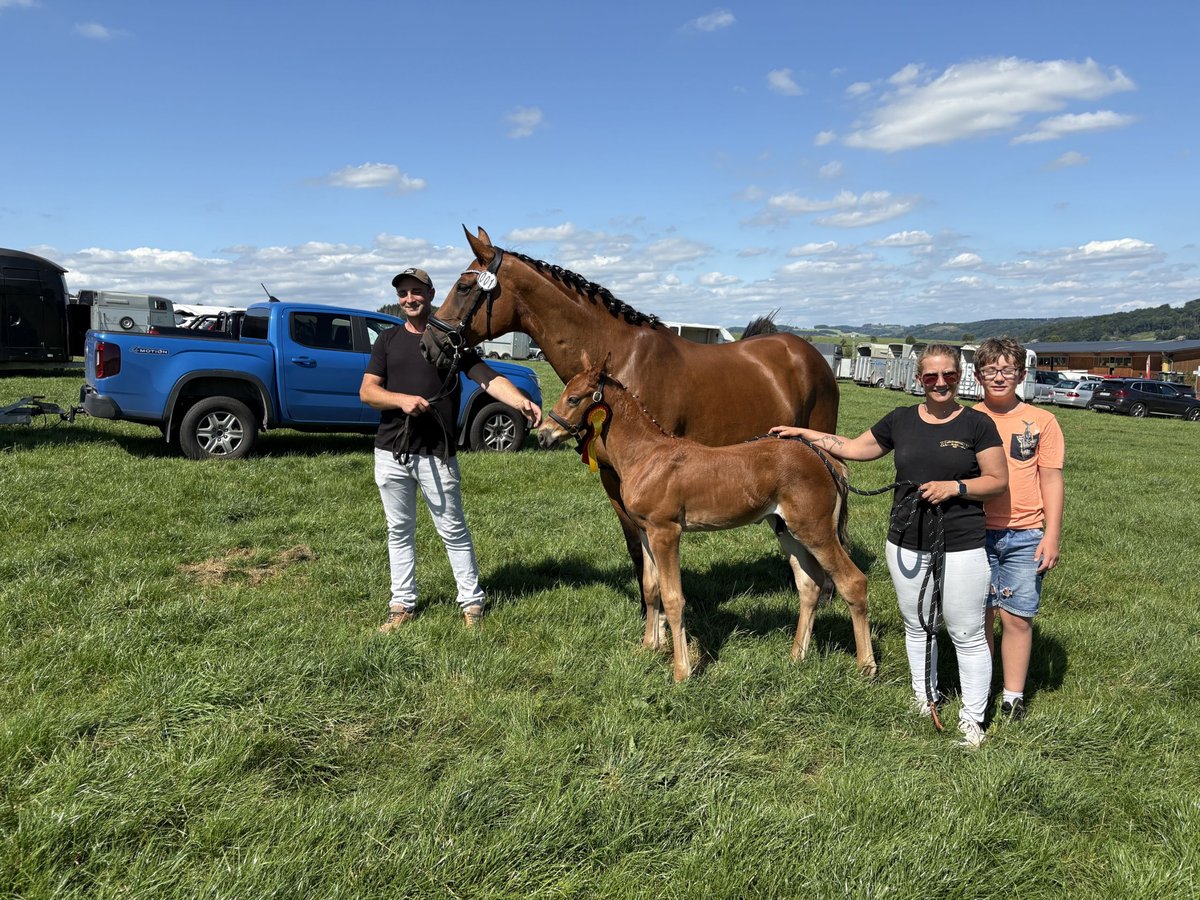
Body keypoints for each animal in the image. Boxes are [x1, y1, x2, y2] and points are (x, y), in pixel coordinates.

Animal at [421, 226, 840, 608]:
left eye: (463, 287)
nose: (429, 345)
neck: (621, 360)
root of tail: (809, 353)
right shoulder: (616, 477)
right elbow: (636, 547)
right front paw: (649, 611)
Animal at [538, 360, 875, 682]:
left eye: (573, 398)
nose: (543, 434)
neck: (647, 456)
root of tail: (827, 460)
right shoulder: (646, 532)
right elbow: (650, 588)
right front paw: (648, 648)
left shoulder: (666, 532)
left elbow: (674, 598)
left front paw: (681, 672)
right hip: (787, 531)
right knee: (809, 585)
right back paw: (796, 657)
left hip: (815, 530)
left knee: (853, 582)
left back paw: (866, 667)